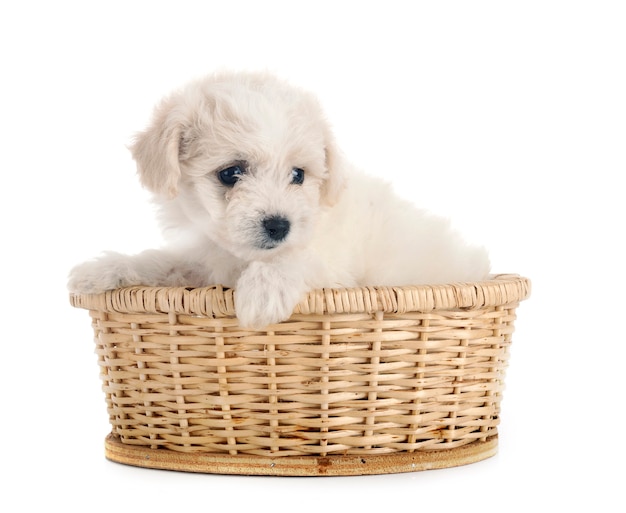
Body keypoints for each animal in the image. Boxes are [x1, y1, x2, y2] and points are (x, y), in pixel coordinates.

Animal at [67, 70, 488, 328]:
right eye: (230, 173)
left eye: (298, 176)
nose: (279, 225)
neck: (242, 259)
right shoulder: (203, 261)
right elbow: (160, 261)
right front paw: (101, 270)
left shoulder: (333, 267)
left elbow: (294, 259)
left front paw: (262, 294)